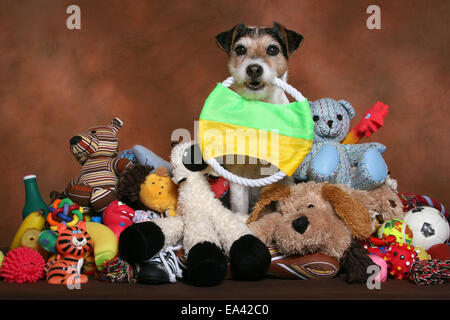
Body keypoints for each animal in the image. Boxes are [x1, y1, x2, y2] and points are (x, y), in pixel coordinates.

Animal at [214, 23, 302, 215]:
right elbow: (240, 209)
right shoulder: (238, 176)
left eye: (272, 49)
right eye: (240, 49)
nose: (254, 69)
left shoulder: (284, 175)